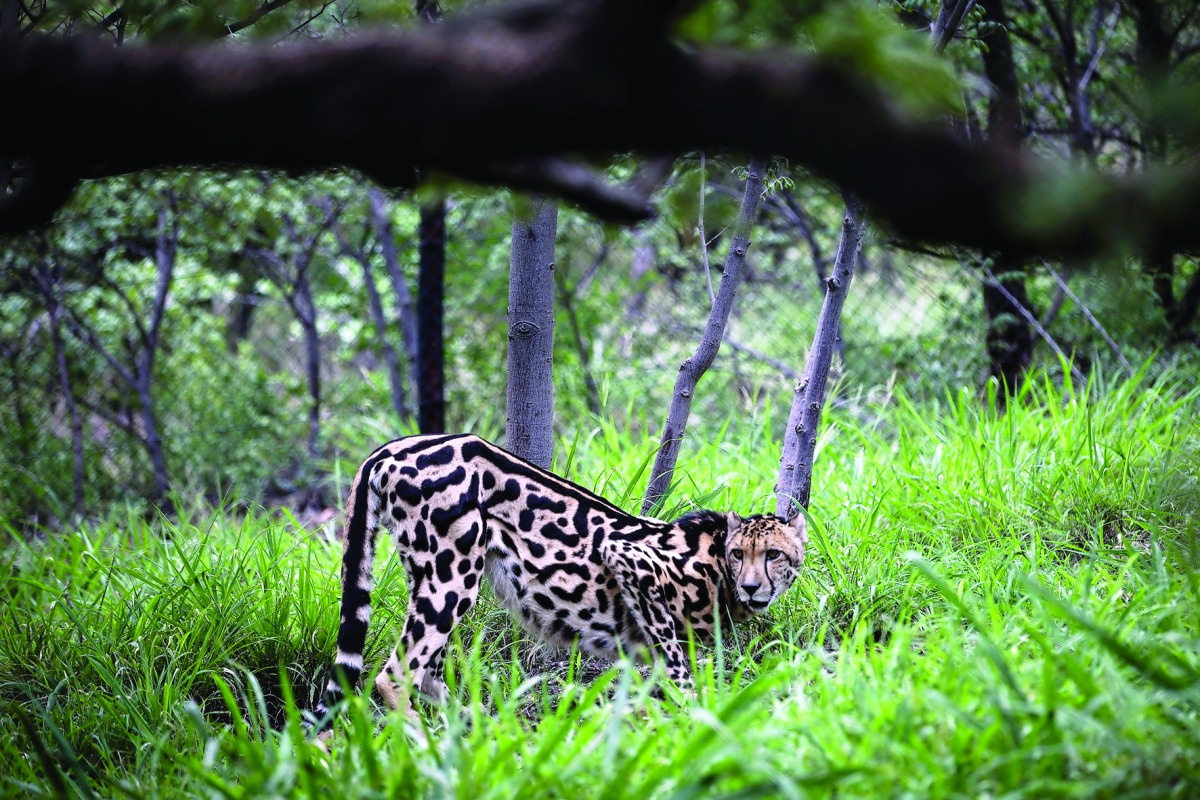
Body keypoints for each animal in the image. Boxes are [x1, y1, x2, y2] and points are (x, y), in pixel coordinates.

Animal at [312, 433, 808, 729]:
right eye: (740, 555)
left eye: (774, 555)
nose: (752, 587)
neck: (715, 565)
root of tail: (393, 447)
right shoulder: (628, 560)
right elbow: (679, 675)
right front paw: (697, 724)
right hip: (450, 579)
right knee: (395, 675)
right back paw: (429, 748)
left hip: (431, 579)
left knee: (427, 673)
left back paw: (479, 732)